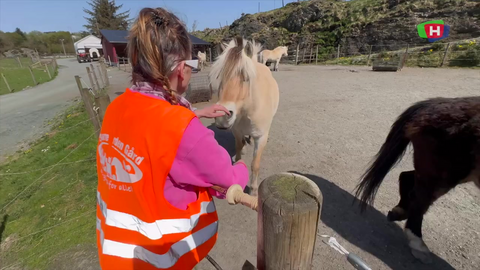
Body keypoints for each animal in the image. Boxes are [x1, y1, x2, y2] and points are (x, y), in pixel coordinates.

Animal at [209, 36, 280, 196]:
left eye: (246, 77)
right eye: (220, 76)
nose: (222, 116)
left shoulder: (261, 137)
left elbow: (255, 164)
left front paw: (253, 191)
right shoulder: (236, 131)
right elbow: (239, 152)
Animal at [352, 96, 480, 264]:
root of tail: (435, 102)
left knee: (407, 178)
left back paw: (399, 212)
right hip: (444, 173)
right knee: (420, 199)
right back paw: (418, 244)